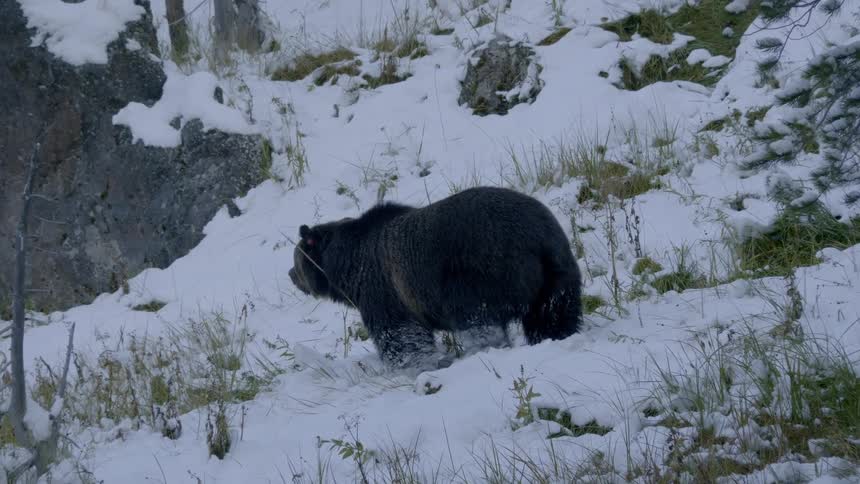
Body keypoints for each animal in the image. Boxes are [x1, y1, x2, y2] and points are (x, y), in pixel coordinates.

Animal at [288, 186, 582, 370]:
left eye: (296, 259)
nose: (291, 275)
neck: (347, 268)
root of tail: (534, 238)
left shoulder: (383, 290)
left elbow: (400, 336)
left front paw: (413, 366)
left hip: (475, 274)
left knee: (479, 322)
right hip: (557, 271)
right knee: (551, 314)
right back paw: (555, 335)